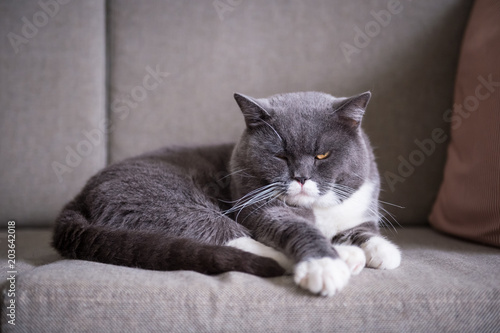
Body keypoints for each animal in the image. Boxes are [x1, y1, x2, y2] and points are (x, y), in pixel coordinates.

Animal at [52, 91, 400, 296]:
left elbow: (364, 228)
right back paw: (340, 257)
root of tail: (80, 195)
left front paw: (382, 250)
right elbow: (295, 227)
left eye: (322, 155)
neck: (318, 210)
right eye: (280, 155)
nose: (301, 178)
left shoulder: (361, 202)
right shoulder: (261, 206)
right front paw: (324, 266)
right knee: (224, 234)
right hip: (160, 200)